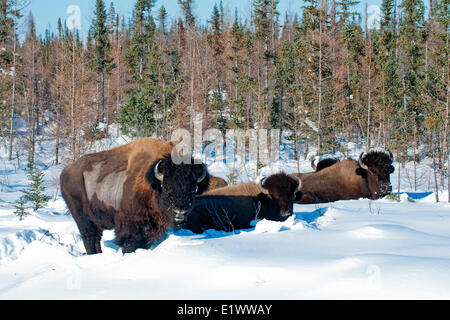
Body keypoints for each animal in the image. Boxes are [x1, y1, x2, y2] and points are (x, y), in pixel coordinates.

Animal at [59, 138, 211, 255]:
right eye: (166, 187)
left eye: (193, 189)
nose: (180, 211)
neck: (152, 185)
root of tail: (65, 172)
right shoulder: (130, 228)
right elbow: (129, 243)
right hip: (82, 217)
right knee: (90, 236)